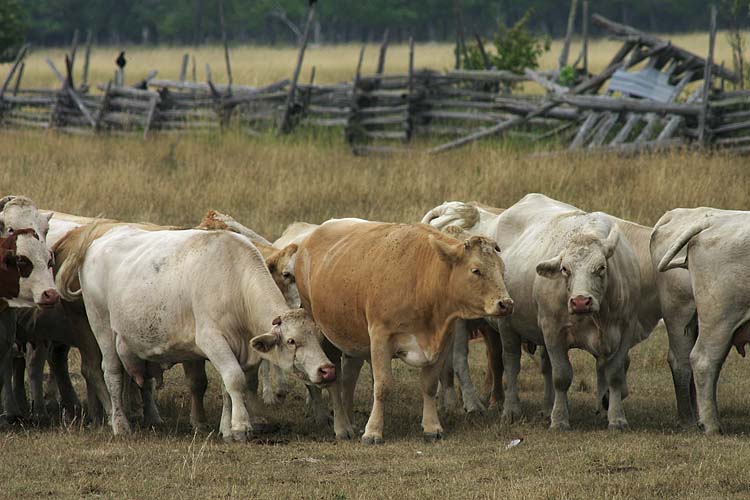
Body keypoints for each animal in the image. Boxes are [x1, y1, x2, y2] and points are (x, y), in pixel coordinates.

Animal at [54, 221, 336, 439]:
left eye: (318, 337)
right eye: (291, 341)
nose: (327, 370)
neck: (234, 281)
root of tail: (100, 241)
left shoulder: (236, 348)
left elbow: (227, 387)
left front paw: (226, 428)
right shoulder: (213, 341)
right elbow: (235, 379)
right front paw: (241, 427)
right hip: (102, 327)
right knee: (112, 374)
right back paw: (120, 425)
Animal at [295, 218, 513, 443]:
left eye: (502, 269)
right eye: (476, 270)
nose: (506, 303)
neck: (422, 281)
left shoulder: (445, 340)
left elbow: (429, 384)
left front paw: (432, 426)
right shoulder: (381, 337)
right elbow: (382, 386)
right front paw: (373, 431)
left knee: (349, 377)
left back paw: (350, 419)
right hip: (323, 333)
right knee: (335, 381)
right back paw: (342, 426)